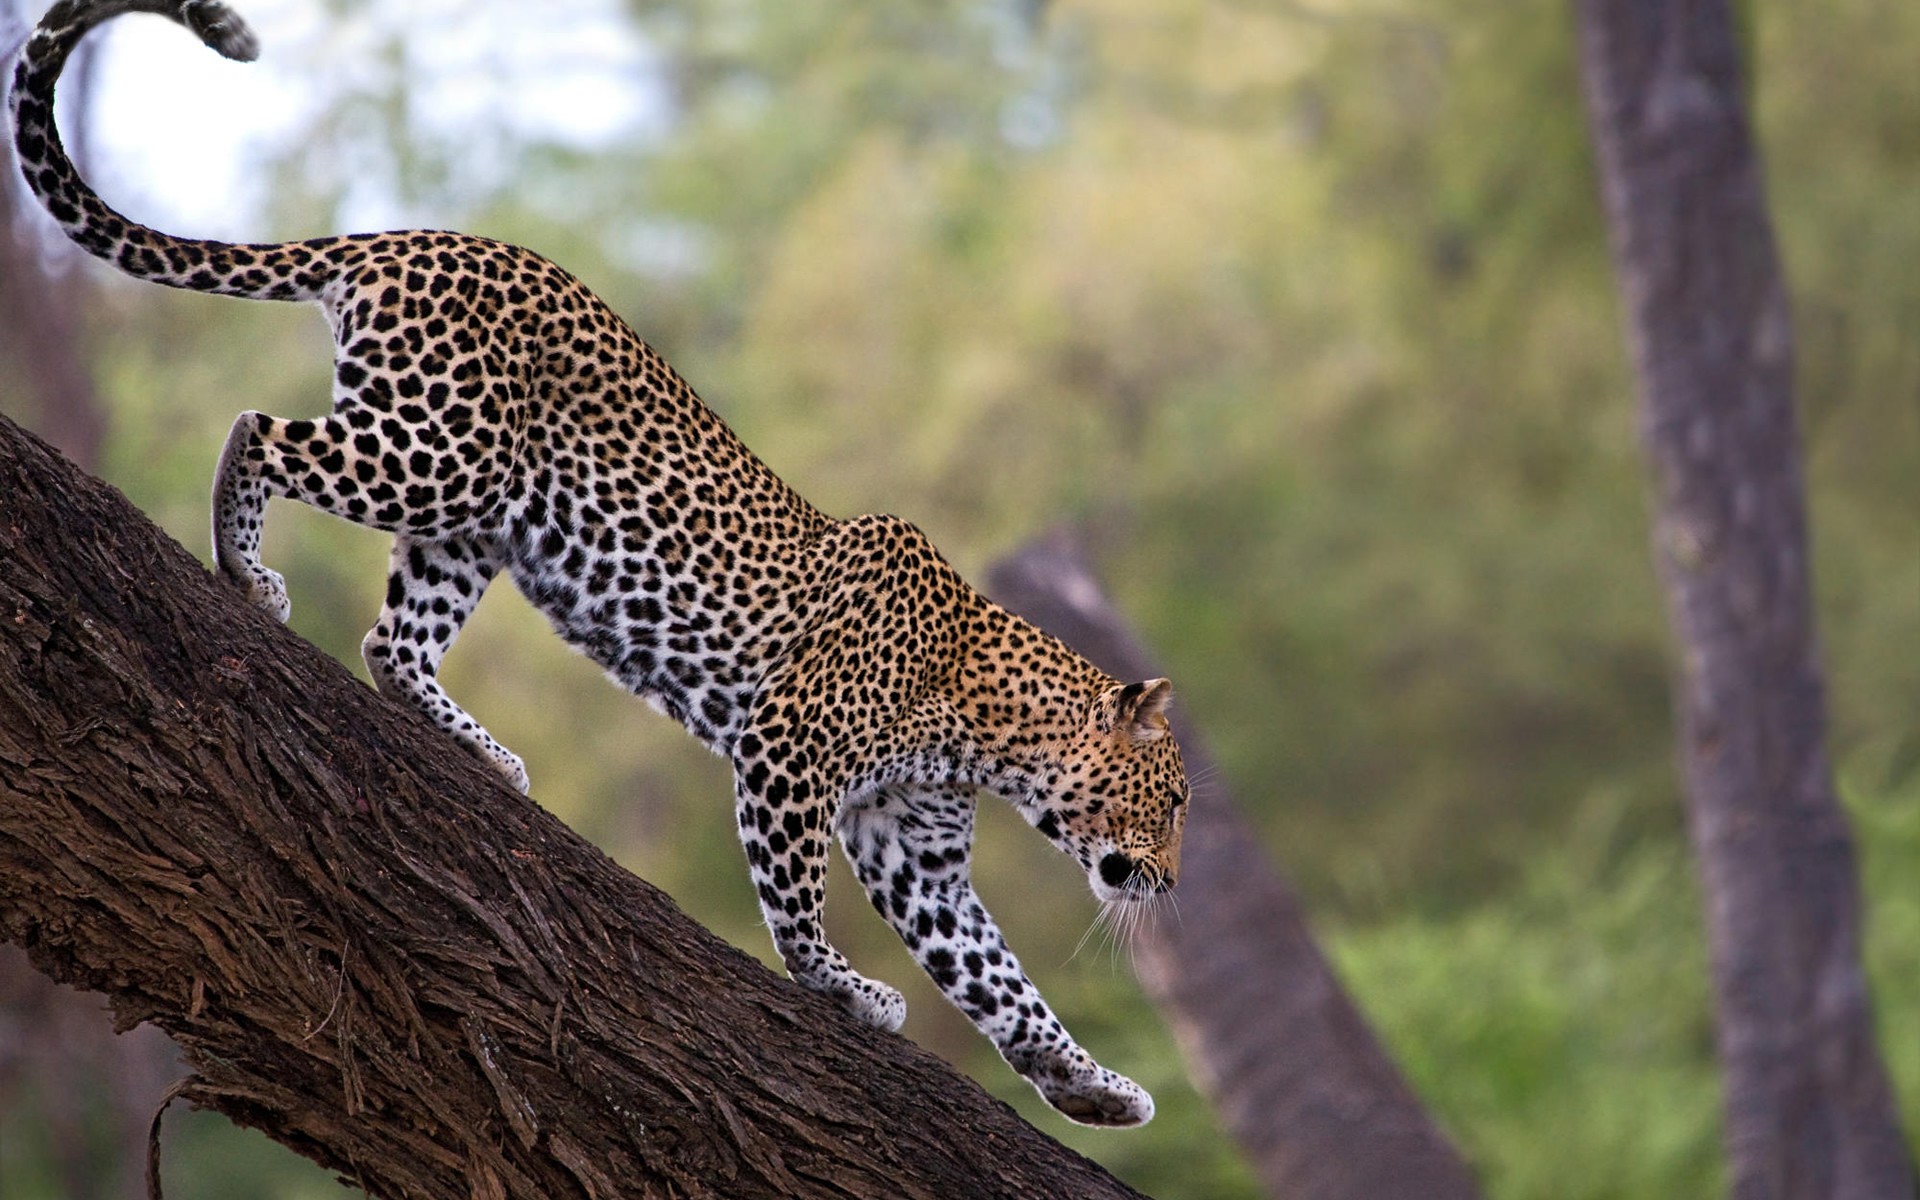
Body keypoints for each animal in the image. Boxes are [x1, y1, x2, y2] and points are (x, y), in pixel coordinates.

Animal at [11, 0, 1191, 1127]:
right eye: (1176, 800)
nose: (1172, 885)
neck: (993, 733)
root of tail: (409, 236)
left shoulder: (917, 853)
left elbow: (1002, 982)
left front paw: (1092, 1086)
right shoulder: (788, 751)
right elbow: (799, 900)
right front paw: (842, 989)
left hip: (476, 521)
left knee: (392, 640)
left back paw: (482, 753)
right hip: (438, 455)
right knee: (257, 432)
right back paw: (246, 573)